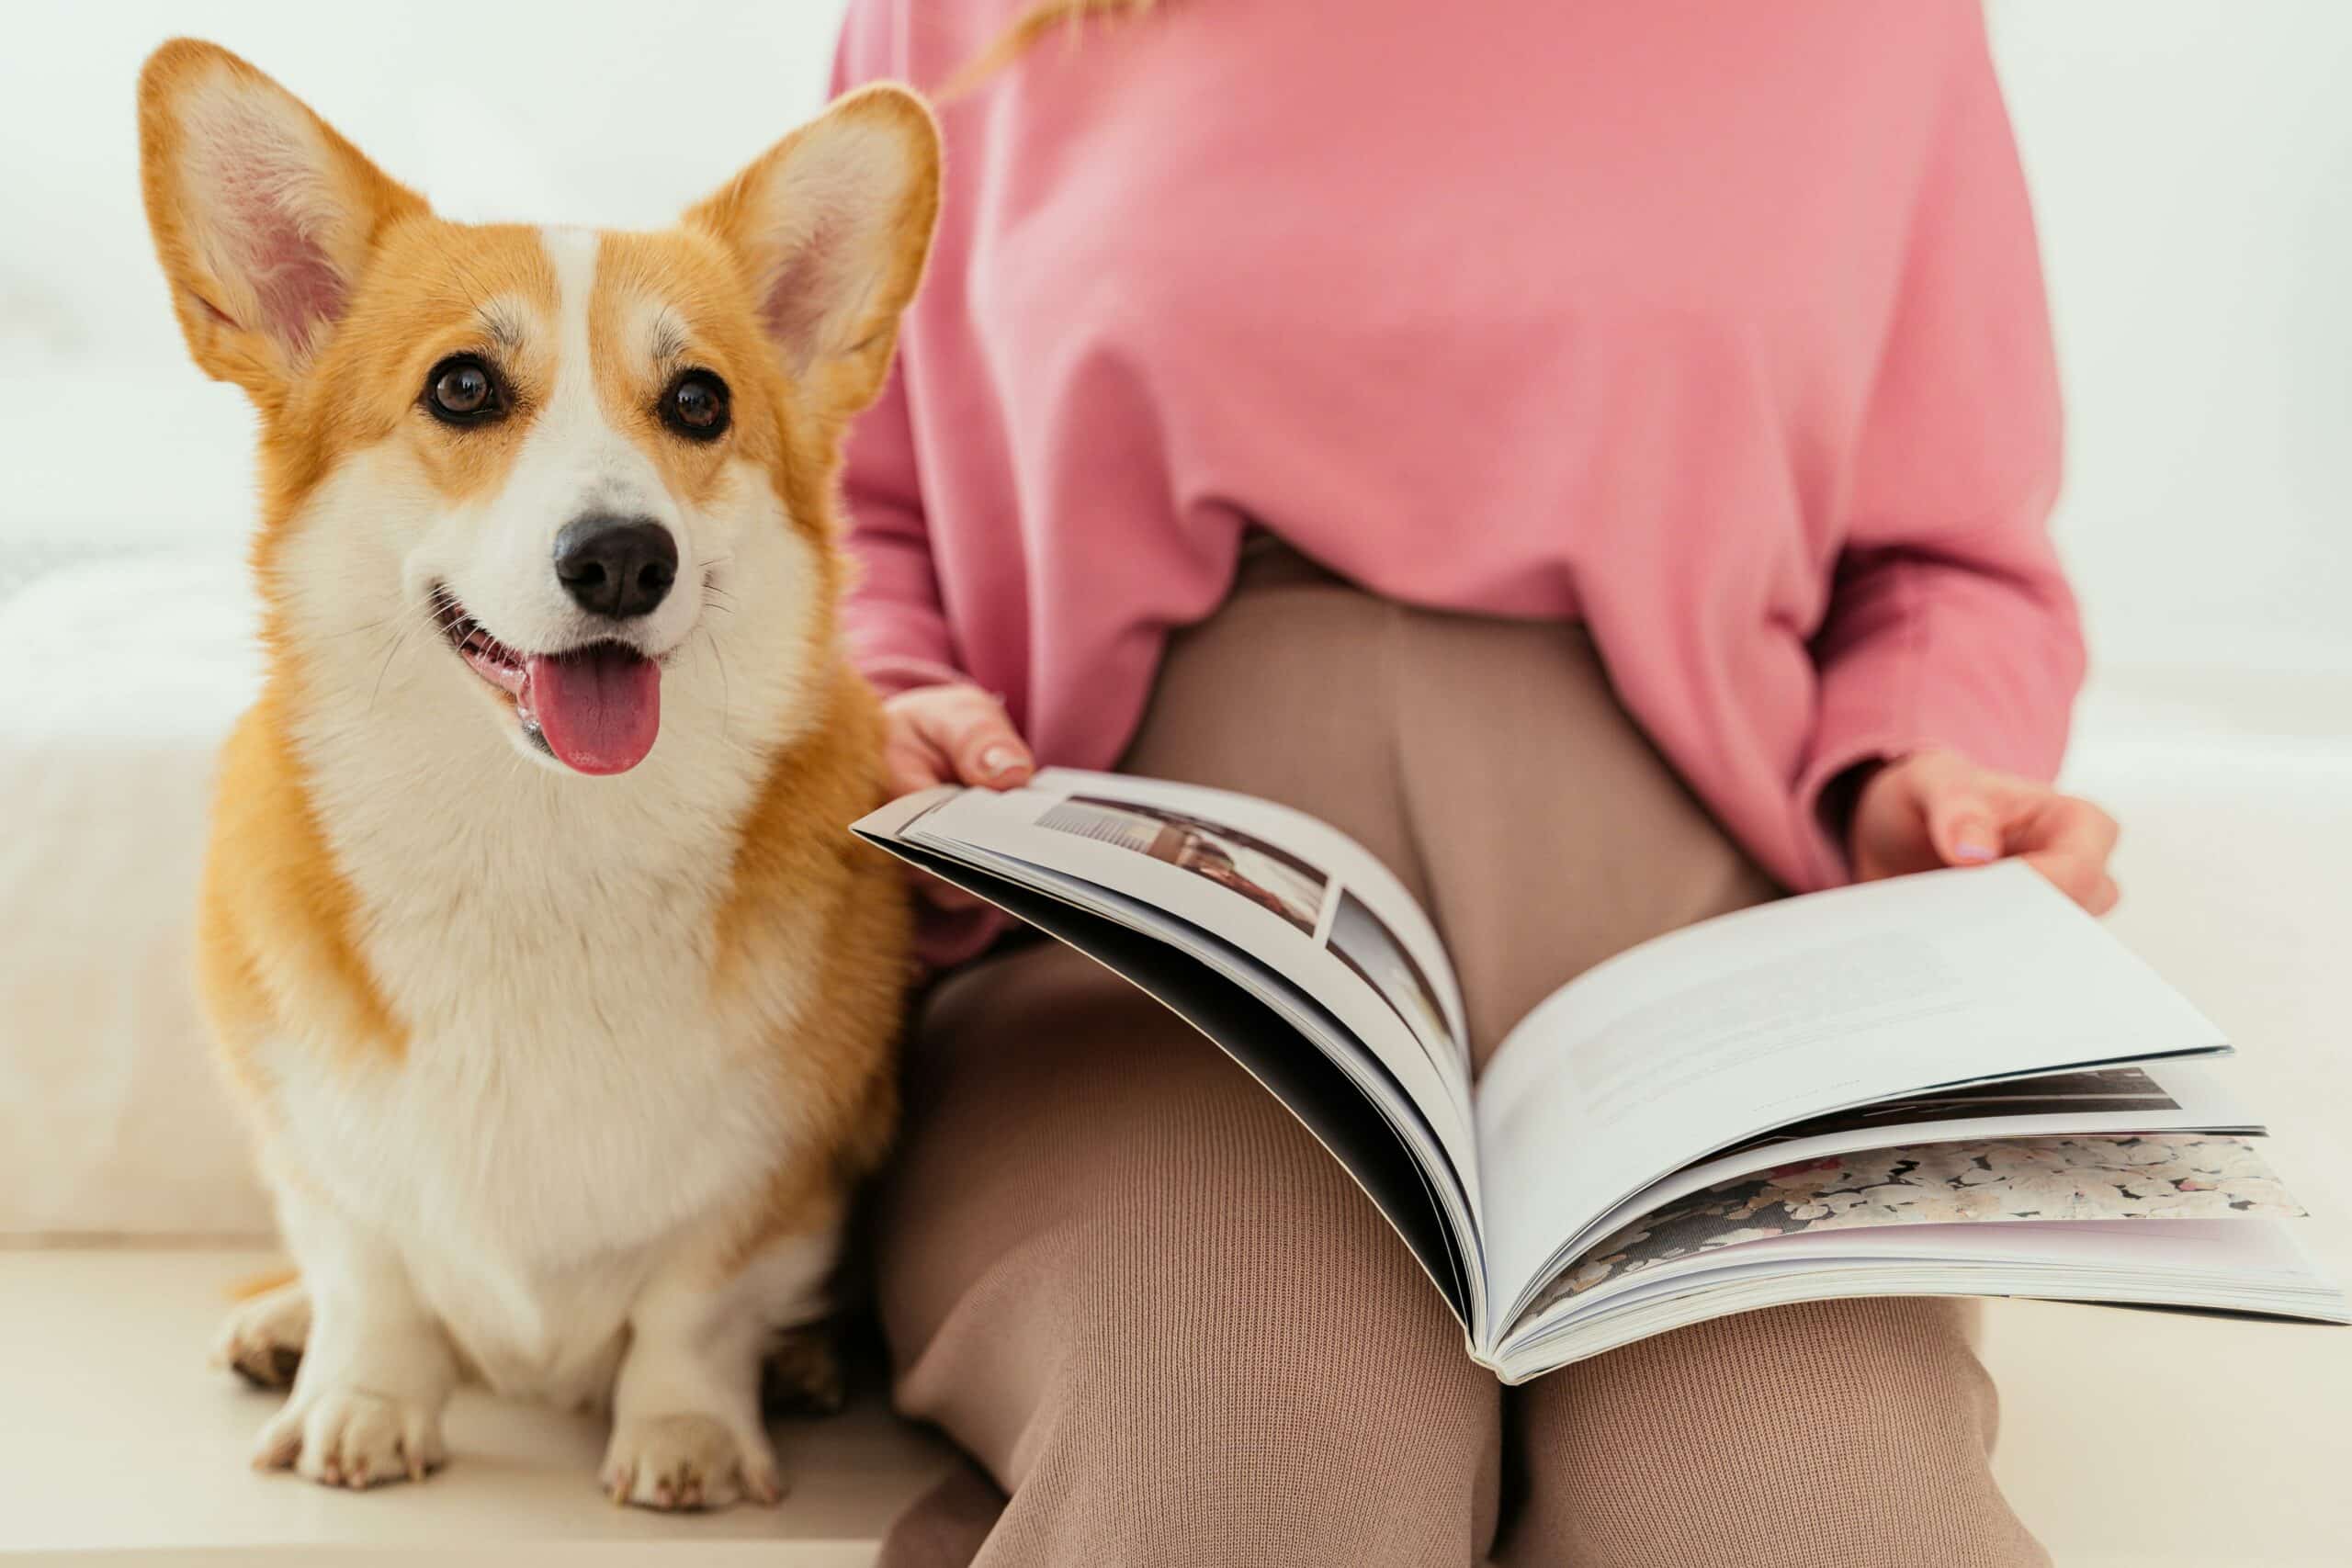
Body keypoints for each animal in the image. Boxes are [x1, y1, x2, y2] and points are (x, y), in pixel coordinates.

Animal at [135, 39, 926, 1504]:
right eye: (461, 387)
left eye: (698, 402)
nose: (621, 557)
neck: (542, 842)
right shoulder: (316, 1149)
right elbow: (371, 1274)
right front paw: (362, 1402)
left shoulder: (778, 1173)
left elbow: (695, 1304)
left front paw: (687, 1433)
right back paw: (282, 1329)